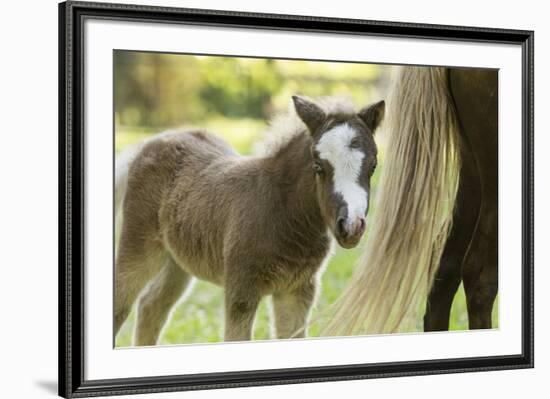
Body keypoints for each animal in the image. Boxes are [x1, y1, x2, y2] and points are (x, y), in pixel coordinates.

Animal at [115, 94, 386, 344]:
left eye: (373, 166)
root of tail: (153, 141)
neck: (284, 212)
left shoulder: (298, 290)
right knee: (122, 304)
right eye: (318, 165)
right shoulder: (241, 290)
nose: (351, 226)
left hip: (178, 259)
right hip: (139, 244)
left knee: (151, 306)